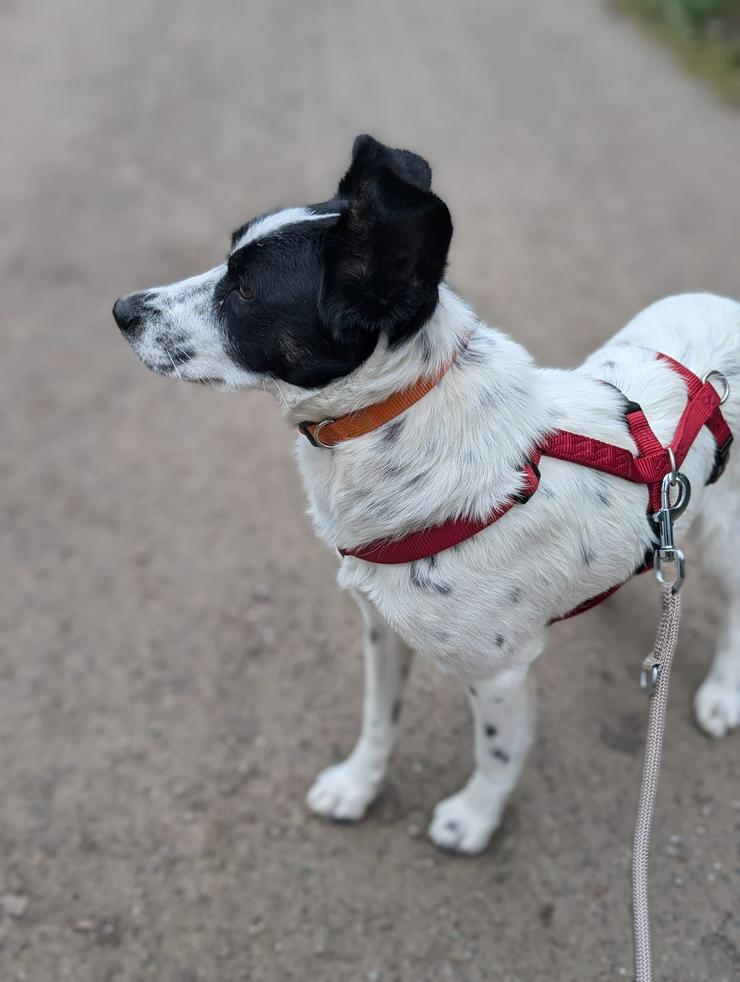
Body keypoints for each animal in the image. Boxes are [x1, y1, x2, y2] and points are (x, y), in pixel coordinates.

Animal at [111, 136, 740, 852]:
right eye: (229, 257)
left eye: (243, 290)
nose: (122, 311)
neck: (395, 419)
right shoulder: (380, 627)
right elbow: (378, 719)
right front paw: (357, 786)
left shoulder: (499, 673)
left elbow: (497, 752)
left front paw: (474, 819)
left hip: (727, 536)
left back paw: (722, 694)